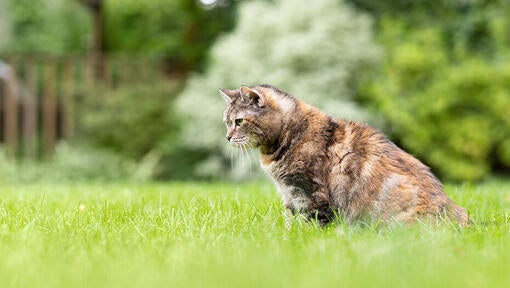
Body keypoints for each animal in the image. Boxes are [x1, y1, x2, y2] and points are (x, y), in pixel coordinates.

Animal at [221, 84, 468, 226]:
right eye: (226, 122)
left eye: (239, 121)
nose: (227, 137)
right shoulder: (290, 195)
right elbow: (290, 221)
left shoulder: (310, 193)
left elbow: (310, 224)